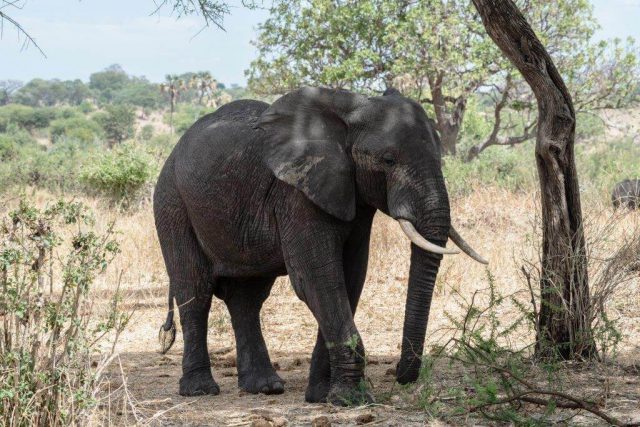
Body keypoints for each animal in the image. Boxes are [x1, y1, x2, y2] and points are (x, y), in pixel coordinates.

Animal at [154, 86, 484, 404]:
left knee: (247, 297)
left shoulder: (352, 196)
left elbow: (350, 278)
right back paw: (200, 390)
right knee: (194, 289)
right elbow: (318, 279)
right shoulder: (296, 194)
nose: (400, 373)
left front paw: (322, 396)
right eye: (388, 161)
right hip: (172, 201)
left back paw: (265, 387)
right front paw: (350, 399)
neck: (352, 110)